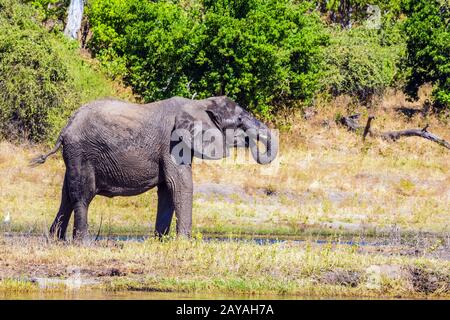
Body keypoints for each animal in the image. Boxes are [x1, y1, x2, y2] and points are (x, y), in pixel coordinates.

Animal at [30, 96, 278, 241]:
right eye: (239, 121)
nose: (250, 142)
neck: (200, 104)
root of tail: (65, 128)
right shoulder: (172, 142)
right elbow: (180, 185)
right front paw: (183, 243)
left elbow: (168, 190)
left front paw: (161, 241)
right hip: (82, 153)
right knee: (82, 196)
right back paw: (82, 243)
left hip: (74, 156)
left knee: (66, 195)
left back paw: (55, 240)